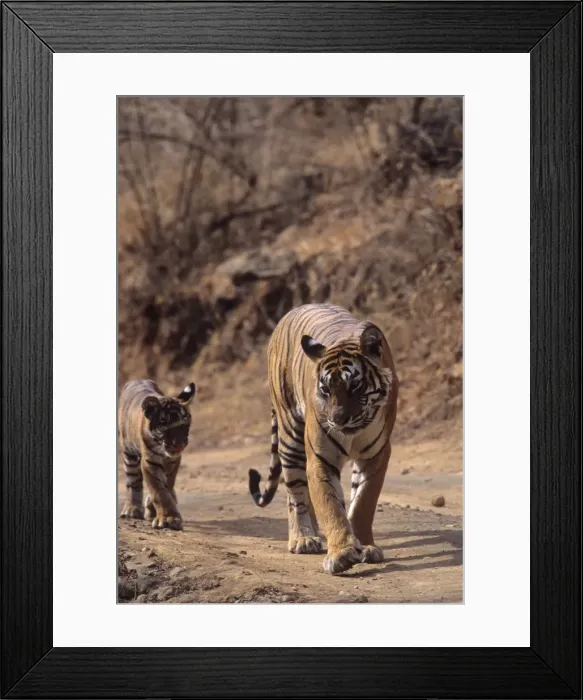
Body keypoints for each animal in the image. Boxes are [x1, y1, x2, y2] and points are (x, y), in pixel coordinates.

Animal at [118, 378, 196, 530]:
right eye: (164, 425)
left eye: (184, 425)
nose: (179, 445)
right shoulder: (150, 462)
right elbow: (159, 492)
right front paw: (168, 518)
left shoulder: (173, 461)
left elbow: (167, 485)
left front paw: (158, 512)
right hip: (128, 454)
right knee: (133, 482)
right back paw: (132, 509)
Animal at [248, 303, 398, 574]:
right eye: (326, 389)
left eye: (354, 386)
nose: (337, 419)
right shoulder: (320, 457)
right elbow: (330, 505)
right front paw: (342, 554)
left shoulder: (376, 456)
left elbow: (362, 503)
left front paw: (365, 547)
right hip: (290, 435)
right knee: (295, 491)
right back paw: (303, 538)